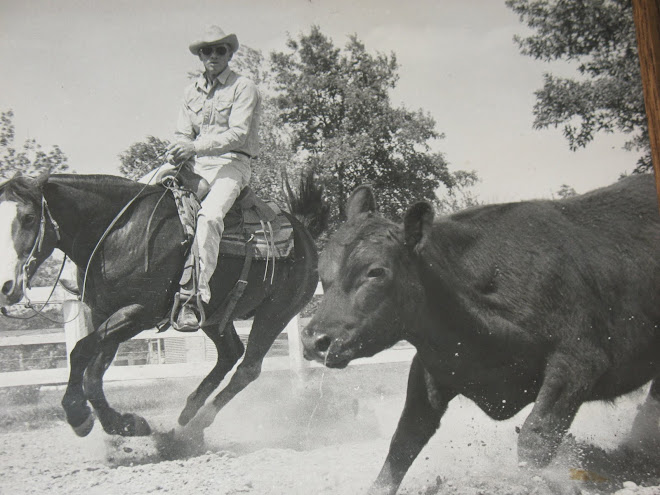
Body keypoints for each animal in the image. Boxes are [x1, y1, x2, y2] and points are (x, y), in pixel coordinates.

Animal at [0, 172, 326, 440]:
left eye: (28, 217)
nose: (6, 287)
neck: (117, 234)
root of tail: (303, 232)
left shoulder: (139, 312)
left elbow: (80, 351)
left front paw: (78, 415)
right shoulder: (105, 313)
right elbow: (93, 372)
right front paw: (126, 424)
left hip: (276, 313)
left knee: (248, 368)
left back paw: (196, 425)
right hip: (214, 316)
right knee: (230, 354)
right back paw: (186, 414)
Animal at [300, 173, 660, 492]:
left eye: (375, 272)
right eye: (321, 269)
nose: (315, 340)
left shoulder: (579, 360)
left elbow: (535, 438)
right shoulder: (433, 367)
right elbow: (404, 440)